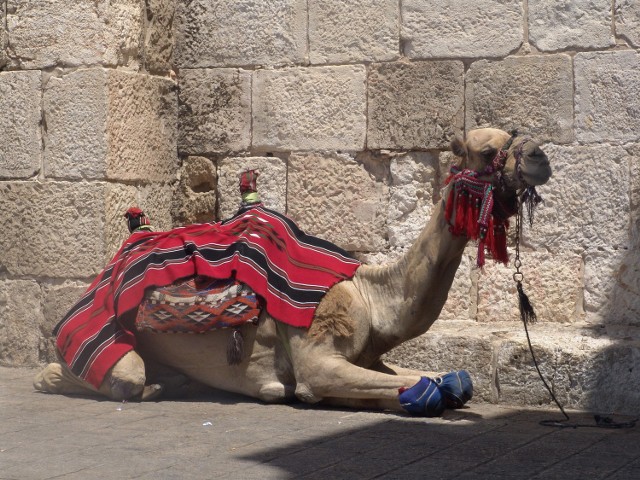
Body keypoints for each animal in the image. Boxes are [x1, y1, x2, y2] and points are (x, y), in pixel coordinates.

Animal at [33, 127, 552, 416]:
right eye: (488, 151)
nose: (539, 157)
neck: (371, 296)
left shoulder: (367, 358)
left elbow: (445, 380)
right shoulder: (316, 357)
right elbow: (419, 385)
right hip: (101, 338)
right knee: (120, 377)